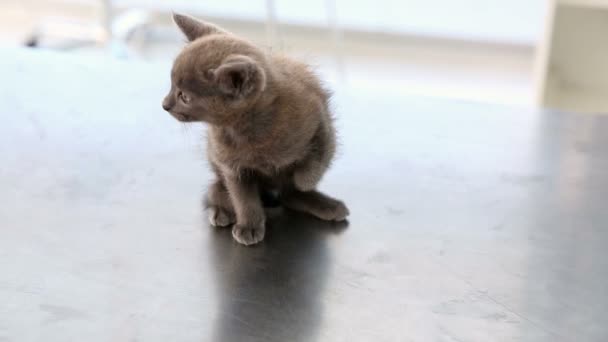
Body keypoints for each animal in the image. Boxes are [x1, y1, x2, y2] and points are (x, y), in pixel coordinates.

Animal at [164, 12, 350, 243]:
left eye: (185, 97)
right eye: (171, 86)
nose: (164, 104)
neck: (249, 131)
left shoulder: (321, 120)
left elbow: (317, 162)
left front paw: (303, 180)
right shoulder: (231, 165)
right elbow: (243, 198)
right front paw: (249, 226)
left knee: (289, 195)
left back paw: (323, 203)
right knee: (214, 192)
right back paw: (222, 209)